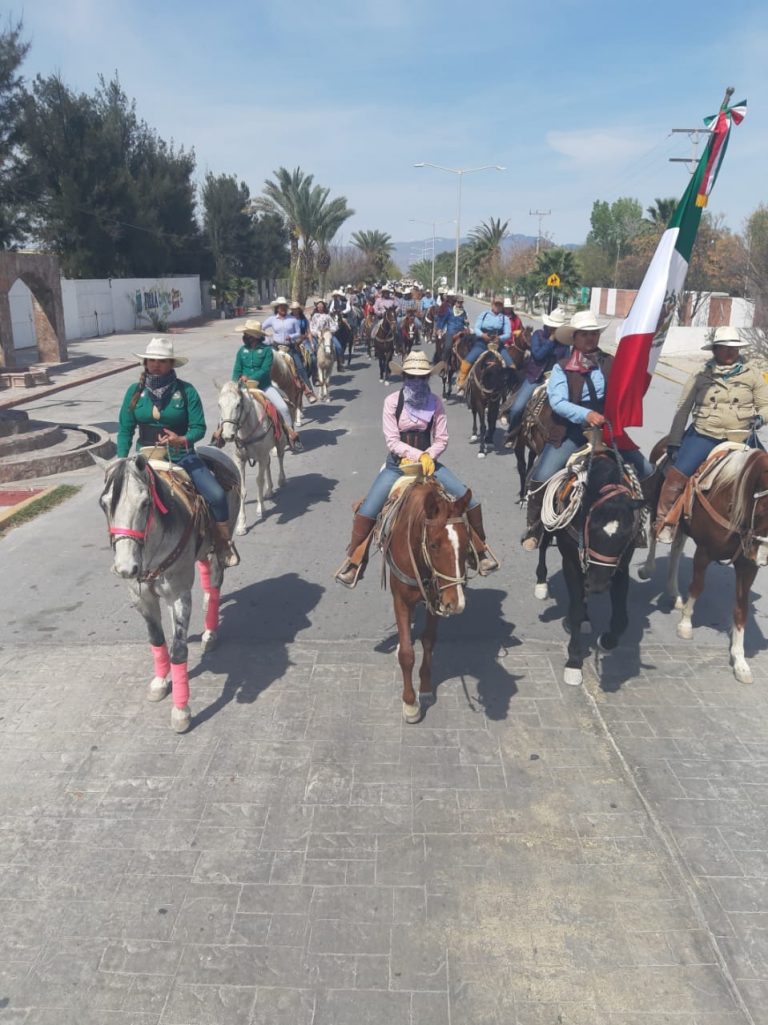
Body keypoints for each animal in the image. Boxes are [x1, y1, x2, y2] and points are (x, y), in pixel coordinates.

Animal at [217, 381, 287, 533]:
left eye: (238, 404)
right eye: (219, 405)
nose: (228, 435)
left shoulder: (261, 456)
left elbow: (259, 481)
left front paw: (261, 507)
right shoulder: (240, 460)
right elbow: (242, 490)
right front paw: (241, 524)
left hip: (279, 443)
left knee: (280, 458)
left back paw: (281, 479)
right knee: (268, 464)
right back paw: (269, 490)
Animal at [377, 477, 473, 721]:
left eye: (467, 542)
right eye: (434, 545)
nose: (456, 603)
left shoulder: (436, 600)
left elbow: (428, 641)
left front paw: (427, 688)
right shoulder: (401, 600)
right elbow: (407, 654)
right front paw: (410, 703)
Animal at [529, 444, 643, 684]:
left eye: (626, 534)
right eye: (591, 528)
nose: (599, 585)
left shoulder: (620, 567)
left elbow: (621, 618)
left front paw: (607, 640)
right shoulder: (571, 563)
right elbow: (575, 610)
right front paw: (573, 661)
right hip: (548, 524)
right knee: (543, 544)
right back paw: (541, 583)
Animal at [639, 444, 766, 684]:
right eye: (764, 509)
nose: (763, 556)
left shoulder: (748, 566)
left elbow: (741, 608)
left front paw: (740, 661)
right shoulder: (705, 551)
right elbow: (697, 586)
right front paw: (685, 625)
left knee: (676, 550)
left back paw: (675, 594)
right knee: (655, 532)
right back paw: (647, 569)